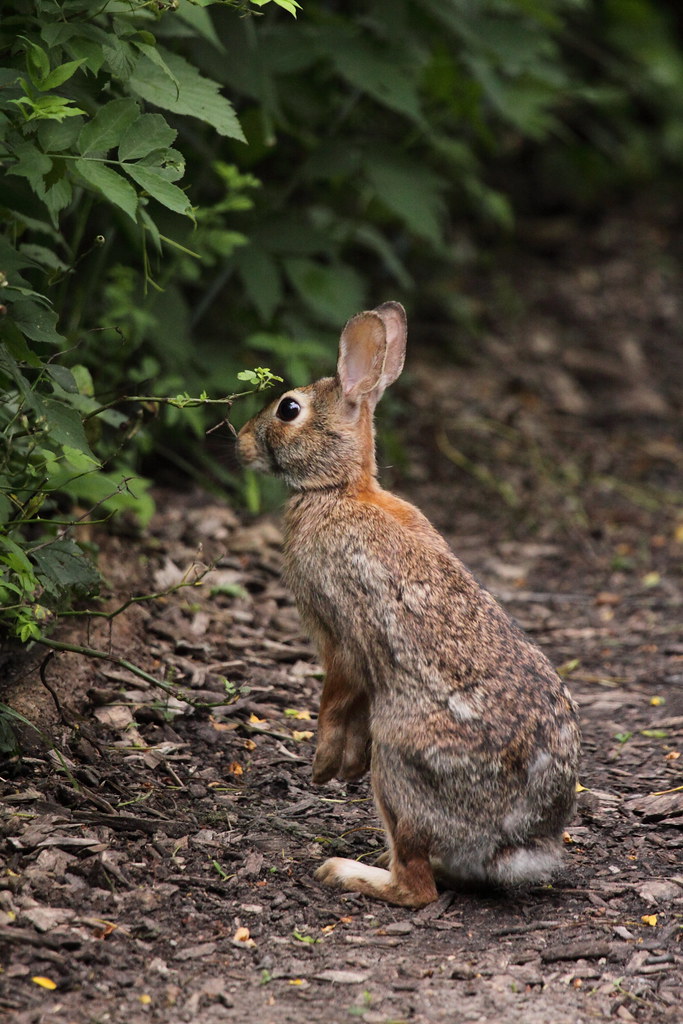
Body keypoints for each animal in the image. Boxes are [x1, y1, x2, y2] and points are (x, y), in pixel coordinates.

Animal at [237, 301, 581, 907]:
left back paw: (347, 871)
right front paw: (339, 768)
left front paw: (322, 767)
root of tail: (516, 845)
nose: (240, 441)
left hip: (398, 760)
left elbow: (335, 701)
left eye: (288, 408)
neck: (338, 490)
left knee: (417, 886)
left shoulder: (340, 636)